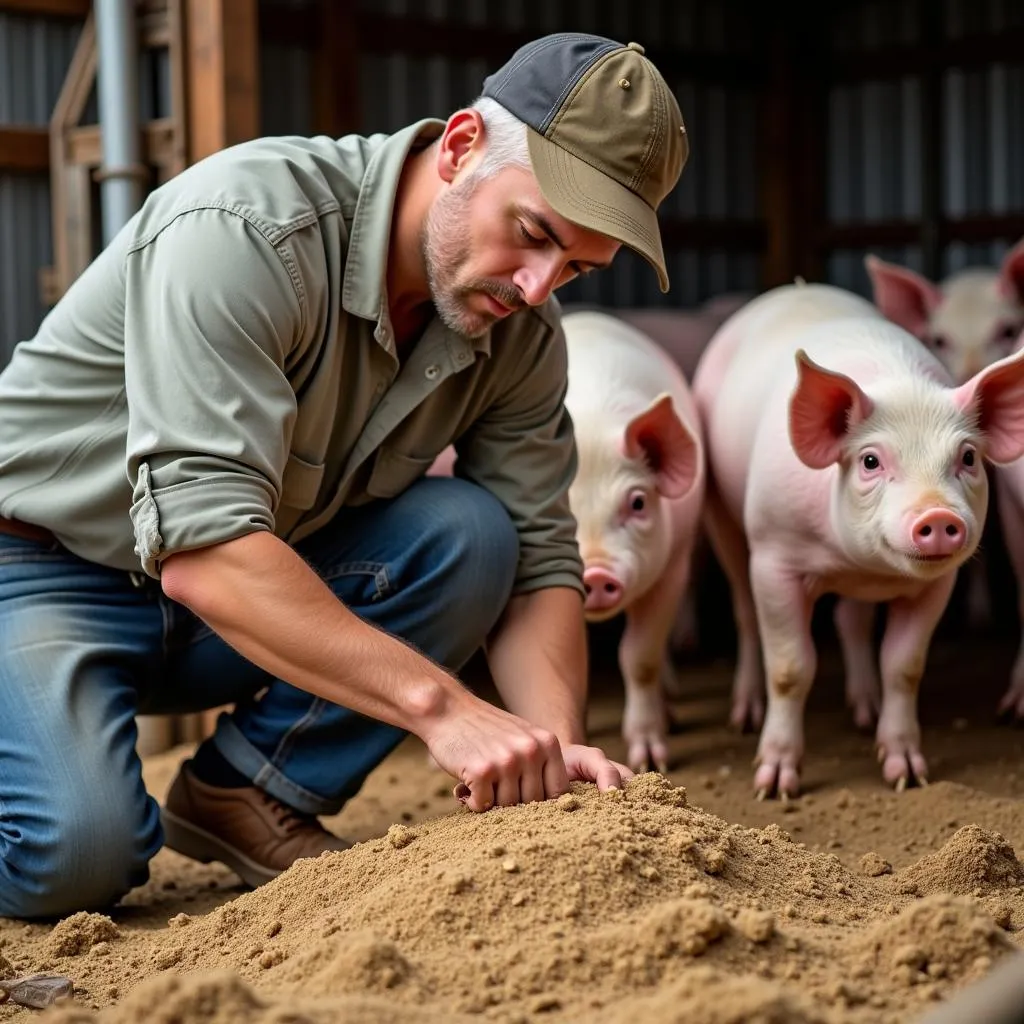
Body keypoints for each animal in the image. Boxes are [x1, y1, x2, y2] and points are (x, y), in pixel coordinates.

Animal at [692, 282, 1024, 798]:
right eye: (870, 461)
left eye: (968, 457)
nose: (938, 515)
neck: (857, 562)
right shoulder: (774, 556)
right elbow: (790, 667)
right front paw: (775, 785)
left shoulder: (938, 584)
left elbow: (904, 666)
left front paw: (907, 775)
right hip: (719, 511)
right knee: (744, 611)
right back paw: (744, 716)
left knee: (852, 620)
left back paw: (864, 712)